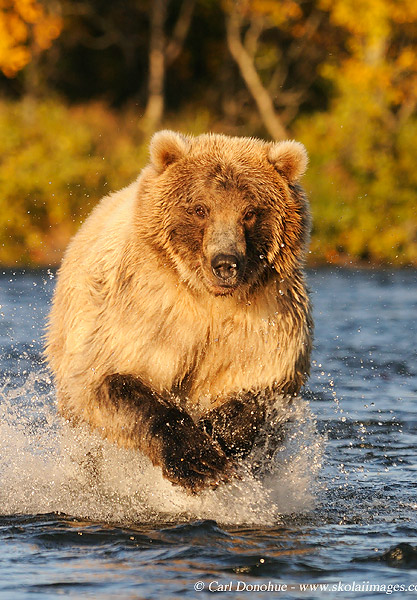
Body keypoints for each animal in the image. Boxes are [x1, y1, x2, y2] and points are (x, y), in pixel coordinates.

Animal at [45, 134, 312, 494]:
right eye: (200, 208)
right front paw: (199, 463)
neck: (209, 301)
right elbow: (111, 381)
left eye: (250, 212)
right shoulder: (146, 310)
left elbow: (263, 388)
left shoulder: (266, 317)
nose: (225, 263)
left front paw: (218, 433)